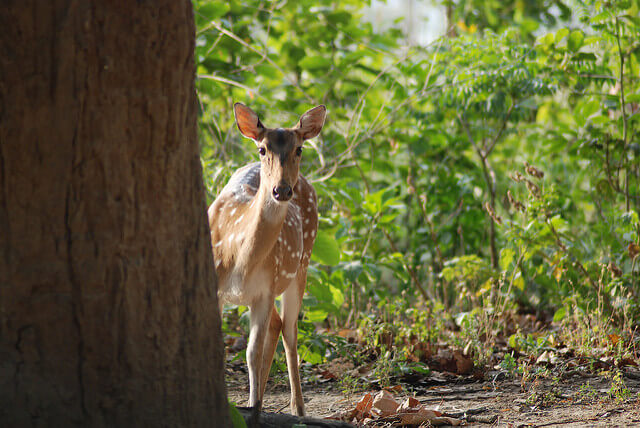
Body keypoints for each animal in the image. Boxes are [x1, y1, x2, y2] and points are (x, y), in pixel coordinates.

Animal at [209, 103, 324, 414]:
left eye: (299, 149)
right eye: (262, 149)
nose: (281, 190)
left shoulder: (265, 289)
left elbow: (252, 352)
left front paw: (255, 408)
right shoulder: (217, 288)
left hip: (300, 266)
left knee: (289, 330)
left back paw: (297, 408)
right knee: (276, 325)